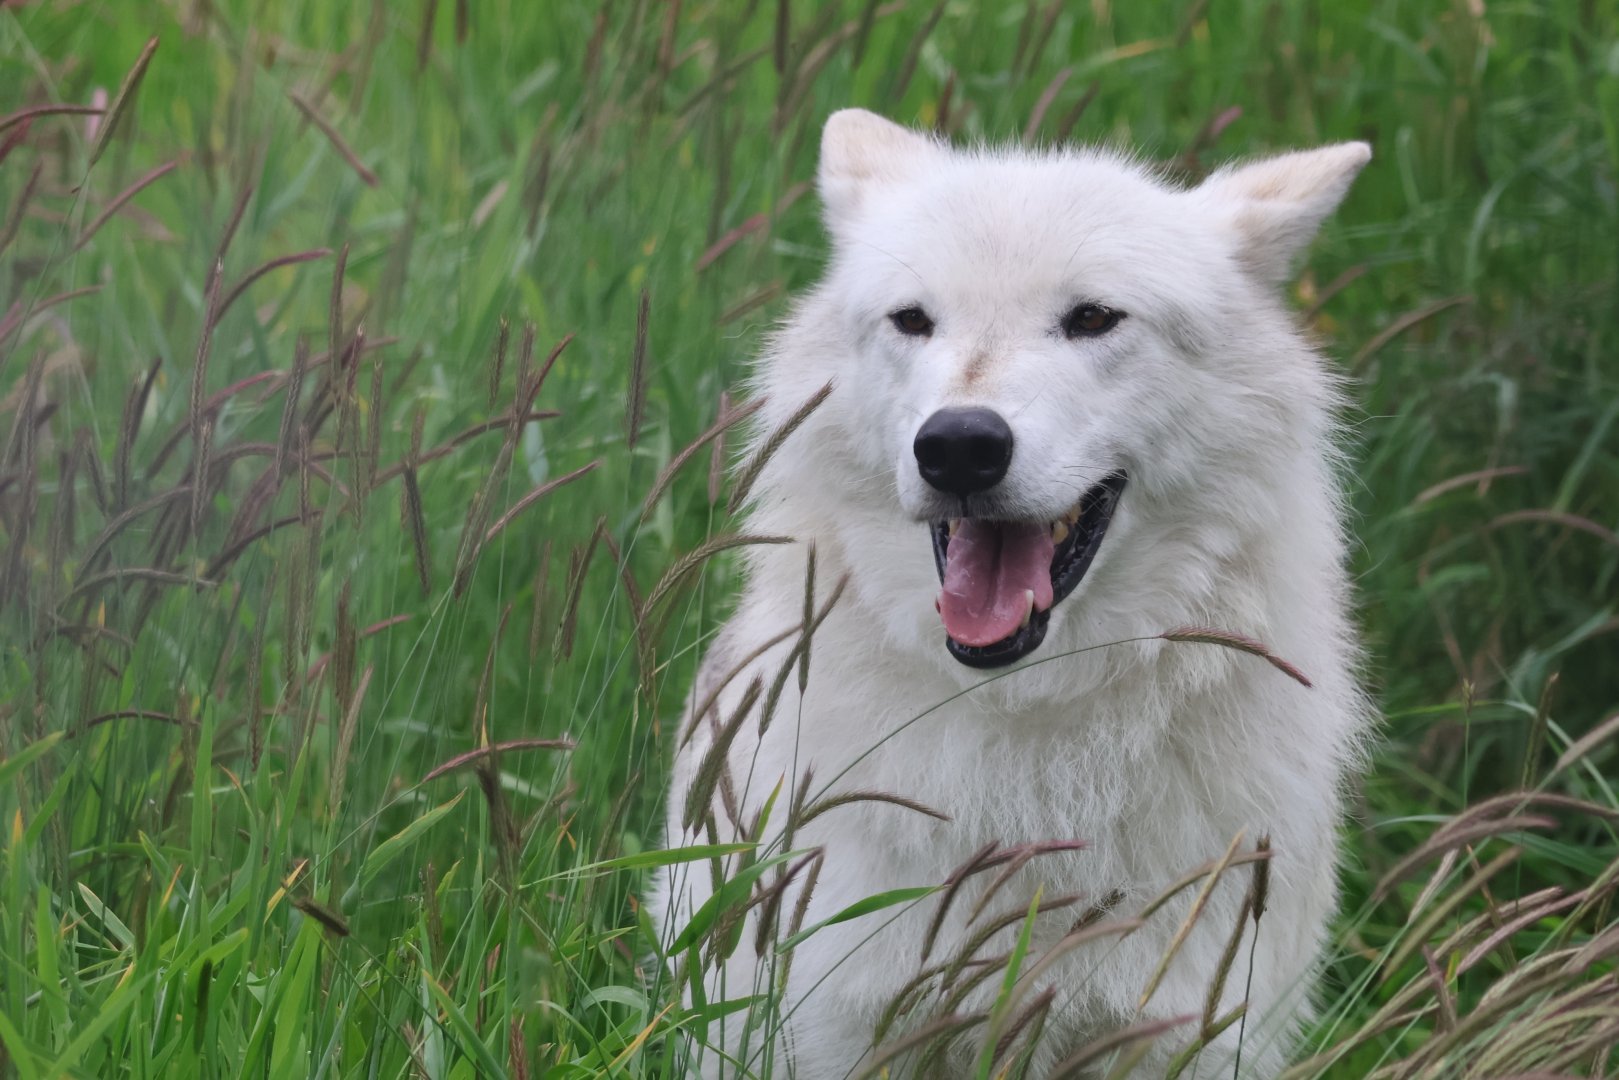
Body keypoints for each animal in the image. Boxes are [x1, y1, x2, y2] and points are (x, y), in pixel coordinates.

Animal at [653, 109, 1372, 1078]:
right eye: (914, 320)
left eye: (1093, 317)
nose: (958, 445)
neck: (1031, 738)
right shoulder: (826, 1022)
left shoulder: (1194, 1031)